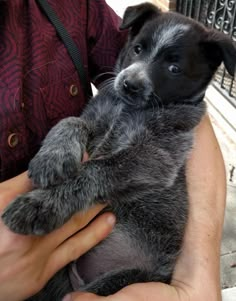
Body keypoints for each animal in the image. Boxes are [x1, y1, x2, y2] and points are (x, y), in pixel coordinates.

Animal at [2, 2, 236, 300]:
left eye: (174, 68)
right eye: (137, 49)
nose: (129, 84)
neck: (127, 109)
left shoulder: (154, 157)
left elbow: (96, 167)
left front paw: (42, 203)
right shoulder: (95, 117)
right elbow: (72, 121)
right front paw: (52, 157)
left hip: (123, 278)